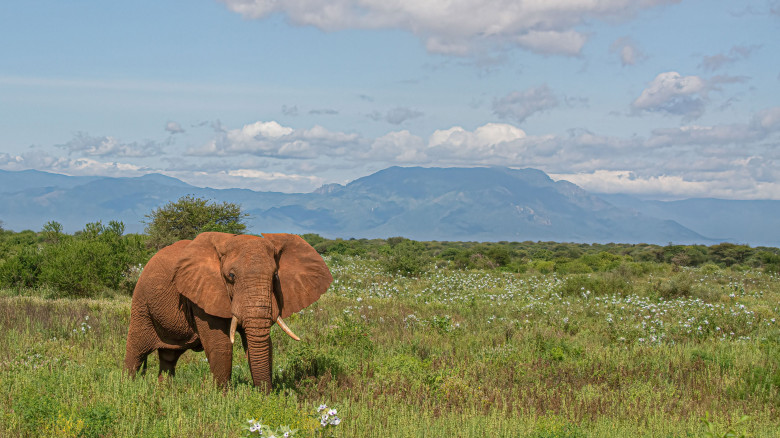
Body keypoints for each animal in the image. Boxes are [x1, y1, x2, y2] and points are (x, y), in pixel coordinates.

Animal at [123, 231, 330, 392]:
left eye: (275, 276)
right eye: (231, 276)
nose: (266, 395)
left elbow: (261, 343)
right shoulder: (203, 293)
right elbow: (219, 344)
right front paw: (223, 400)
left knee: (168, 358)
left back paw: (164, 393)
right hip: (142, 304)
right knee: (136, 352)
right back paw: (127, 390)